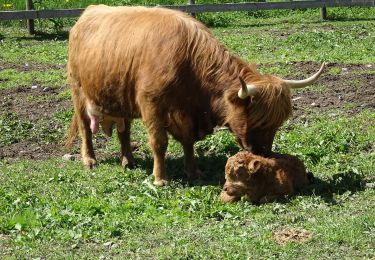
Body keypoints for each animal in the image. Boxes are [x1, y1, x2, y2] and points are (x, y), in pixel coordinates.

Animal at [65, 5, 326, 186]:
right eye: (257, 120)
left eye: (277, 123)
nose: (264, 153)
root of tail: (88, 12)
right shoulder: (152, 106)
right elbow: (159, 143)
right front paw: (160, 178)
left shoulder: (187, 115)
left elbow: (188, 142)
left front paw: (193, 171)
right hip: (78, 92)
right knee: (85, 128)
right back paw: (89, 160)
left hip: (120, 98)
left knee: (124, 132)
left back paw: (128, 161)